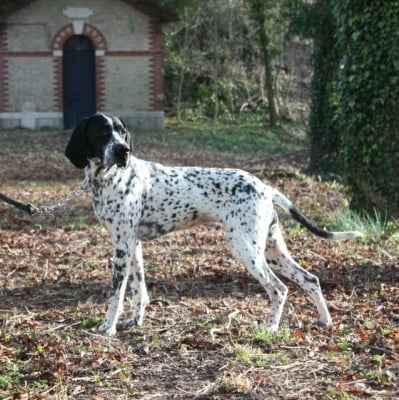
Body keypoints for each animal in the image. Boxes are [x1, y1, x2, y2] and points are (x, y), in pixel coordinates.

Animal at [65, 114, 362, 336]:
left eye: (122, 132)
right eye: (103, 132)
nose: (123, 151)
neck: (109, 178)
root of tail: (265, 187)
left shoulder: (122, 246)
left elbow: (116, 294)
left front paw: (108, 327)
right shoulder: (131, 244)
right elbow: (140, 291)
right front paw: (134, 321)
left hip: (246, 250)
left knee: (279, 288)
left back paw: (271, 327)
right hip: (271, 250)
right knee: (310, 279)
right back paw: (325, 320)